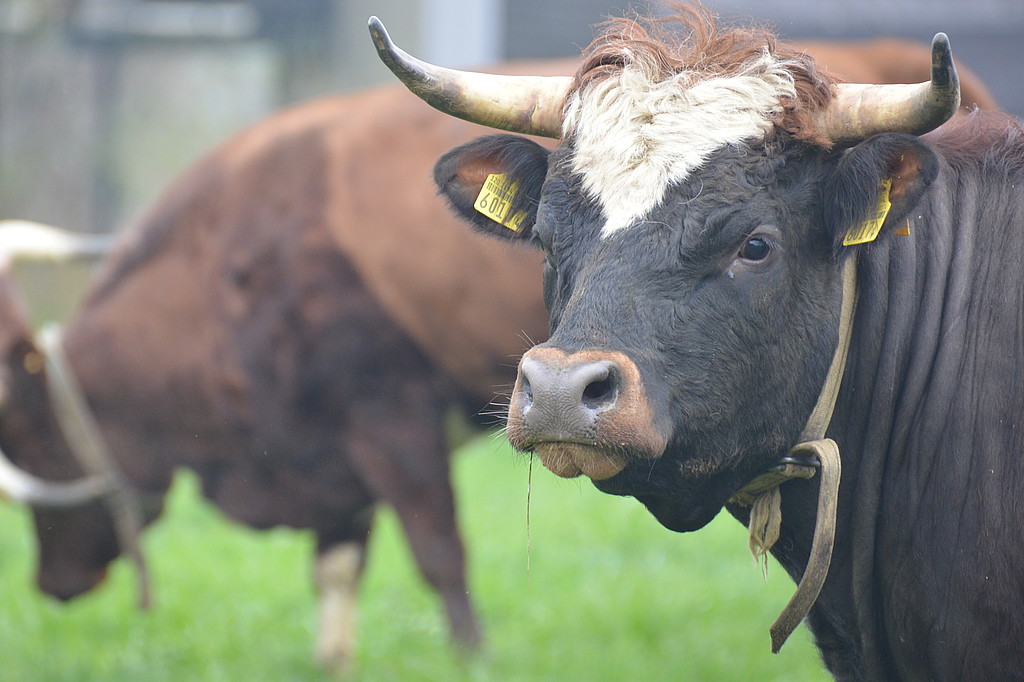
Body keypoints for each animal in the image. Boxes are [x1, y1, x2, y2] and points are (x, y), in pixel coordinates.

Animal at [0, 37, 999, 667]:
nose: (50, 584)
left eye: (755, 244)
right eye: (546, 240)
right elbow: (340, 565)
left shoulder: (386, 413)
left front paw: (472, 656)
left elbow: (438, 551)